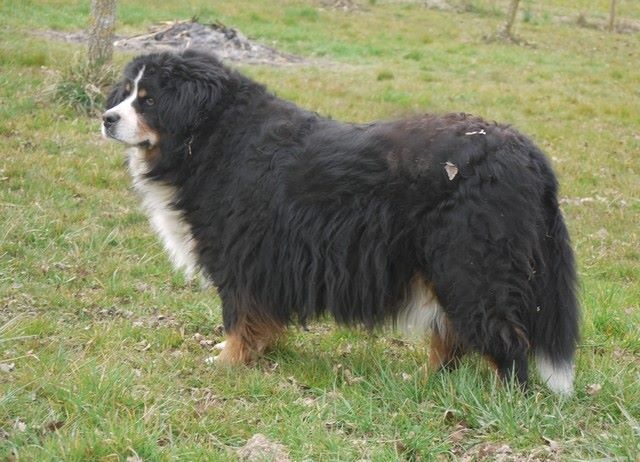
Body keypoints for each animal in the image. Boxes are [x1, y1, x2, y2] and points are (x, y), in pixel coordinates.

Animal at [102, 49, 580, 395]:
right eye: (125, 92)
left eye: (149, 100)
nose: (107, 118)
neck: (211, 133)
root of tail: (527, 152)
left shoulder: (240, 253)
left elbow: (239, 316)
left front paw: (227, 363)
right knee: (452, 334)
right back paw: (428, 383)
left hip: (469, 262)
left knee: (504, 337)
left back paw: (502, 397)